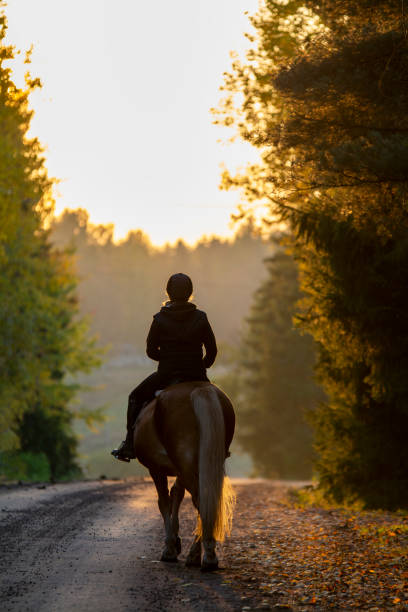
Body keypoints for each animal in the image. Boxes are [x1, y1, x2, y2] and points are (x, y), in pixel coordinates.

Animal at [134, 380, 236, 572]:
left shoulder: (156, 468)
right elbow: (176, 494)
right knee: (203, 500)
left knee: (200, 501)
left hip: (184, 461)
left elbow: (163, 502)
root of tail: (200, 389)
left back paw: (206, 556)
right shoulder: (179, 470)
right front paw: (175, 540)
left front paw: (170, 548)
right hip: (200, 462)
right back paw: (198, 554)